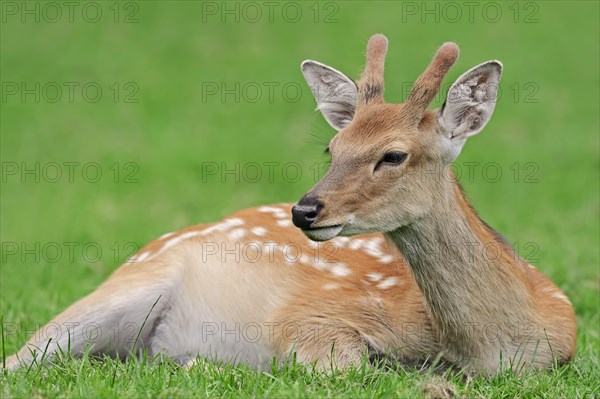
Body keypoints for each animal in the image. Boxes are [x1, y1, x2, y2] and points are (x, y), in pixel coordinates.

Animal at [5, 33, 576, 376]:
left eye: (393, 155)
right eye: (332, 148)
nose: (305, 210)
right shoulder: (311, 316)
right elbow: (347, 365)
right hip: (127, 286)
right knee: (20, 357)